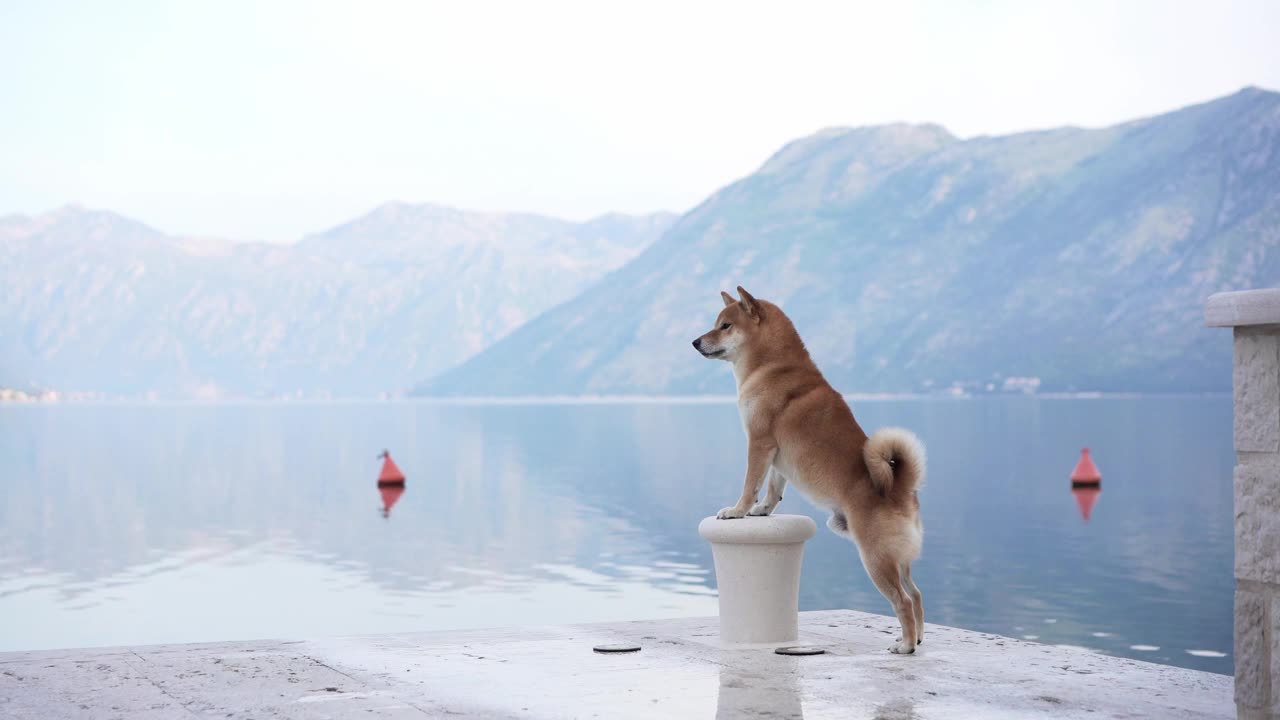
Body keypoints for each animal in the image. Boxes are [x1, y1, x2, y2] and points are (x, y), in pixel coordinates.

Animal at [696, 284, 926, 650]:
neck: (772, 366)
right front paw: (761, 511)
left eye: (725, 326)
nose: (695, 342)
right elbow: (773, 490)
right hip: (899, 560)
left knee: (902, 600)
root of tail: (901, 489)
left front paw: (737, 511)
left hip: (875, 559)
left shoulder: (759, 443)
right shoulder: (778, 455)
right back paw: (916, 639)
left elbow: (750, 483)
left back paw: (904, 645)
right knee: (916, 595)